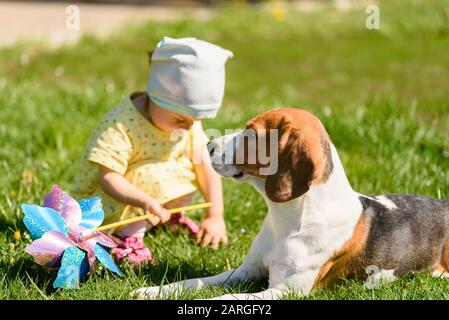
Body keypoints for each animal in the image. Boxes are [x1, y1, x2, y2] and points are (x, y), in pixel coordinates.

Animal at [133, 108, 448, 300]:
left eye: (250, 133)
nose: (207, 146)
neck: (287, 219)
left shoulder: (286, 291)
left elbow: (228, 297)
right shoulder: (245, 271)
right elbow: (196, 282)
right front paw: (153, 291)